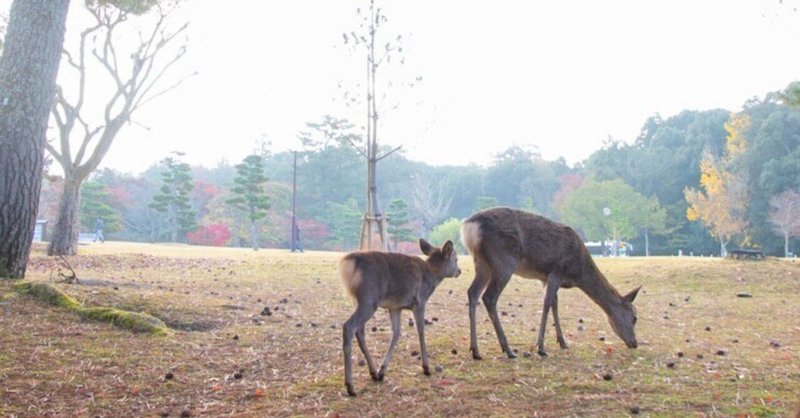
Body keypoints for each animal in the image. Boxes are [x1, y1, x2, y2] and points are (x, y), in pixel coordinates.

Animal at [340, 238, 462, 396]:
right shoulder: (420, 301)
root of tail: (349, 263)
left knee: (360, 332)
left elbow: (396, 333)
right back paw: (350, 386)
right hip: (369, 299)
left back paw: (373, 373)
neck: (432, 278)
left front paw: (382, 370)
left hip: (359, 301)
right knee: (348, 327)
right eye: (456, 259)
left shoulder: (395, 307)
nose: (459, 271)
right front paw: (426, 367)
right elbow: (421, 330)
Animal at [460, 207, 640, 358]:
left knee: (472, 292)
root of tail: (469, 226)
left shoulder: (544, 277)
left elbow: (554, 303)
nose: (635, 343)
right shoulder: (556, 271)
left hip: (482, 263)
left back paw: (475, 350)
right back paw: (508, 349)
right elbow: (547, 304)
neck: (578, 272)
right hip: (504, 262)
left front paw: (563, 342)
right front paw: (540, 347)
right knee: (489, 297)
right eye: (634, 317)